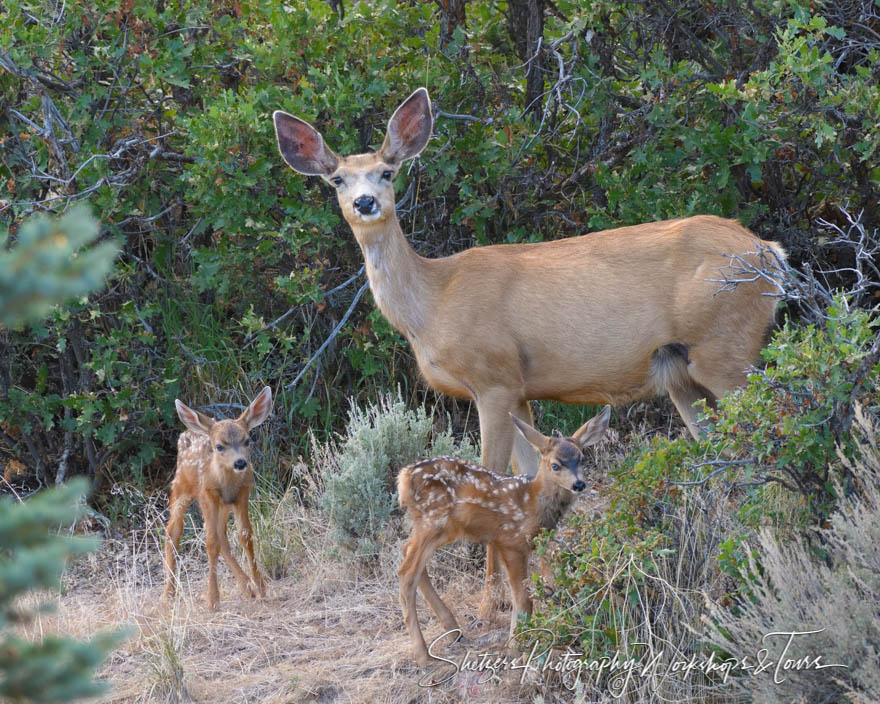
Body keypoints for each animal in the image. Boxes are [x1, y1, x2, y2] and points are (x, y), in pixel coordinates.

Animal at [162, 384, 272, 612]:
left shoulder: (242, 494)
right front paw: (212, 600)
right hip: (181, 488)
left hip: (223, 505)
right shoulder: (207, 494)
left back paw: (248, 587)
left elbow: (245, 535)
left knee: (222, 535)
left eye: (247, 440)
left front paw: (261, 588)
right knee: (173, 531)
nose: (240, 463)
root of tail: (187, 432)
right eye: (220, 446)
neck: (226, 483)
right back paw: (167, 596)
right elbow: (210, 542)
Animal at [272, 86, 788, 616]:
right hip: (681, 369)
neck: (434, 303)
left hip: (727, 348)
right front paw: (539, 582)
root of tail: (771, 253)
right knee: (721, 451)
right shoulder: (520, 391)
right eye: (337, 178)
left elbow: (490, 473)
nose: (366, 201)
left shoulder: (493, 378)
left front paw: (489, 604)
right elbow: (525, 472)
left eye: (387, 171)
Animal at [398, 408, 612, 664]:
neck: (533, 504)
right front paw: (516, 646)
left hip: (439, 527)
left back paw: (453, 631)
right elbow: (523, 598)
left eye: (581, 459)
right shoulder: (511, 541)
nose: (579, 484)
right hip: (434, 521)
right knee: (406, 572)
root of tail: (403, 477)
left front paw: (517, 641)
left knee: (407, 553)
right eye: (555, 465)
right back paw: (422, 655)